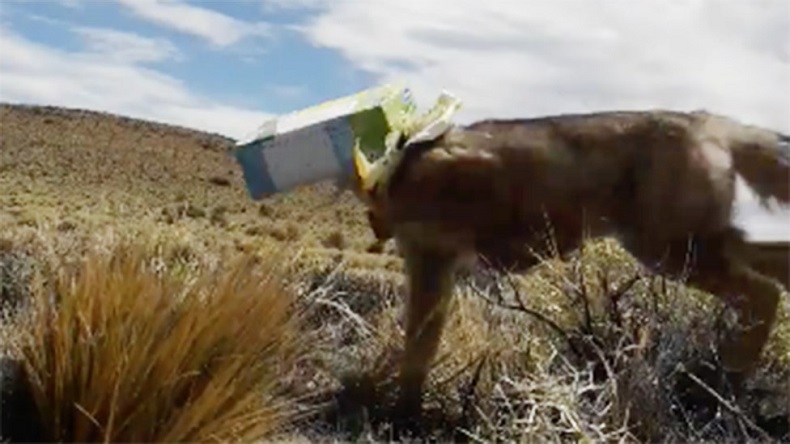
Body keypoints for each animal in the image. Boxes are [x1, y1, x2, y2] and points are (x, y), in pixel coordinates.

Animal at [350, 109, 790, 423]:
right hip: (694, 246)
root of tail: (704, 119)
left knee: (764, 293)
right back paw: (729, 383)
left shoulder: (432, 260)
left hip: (673, 251)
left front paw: (402, 415)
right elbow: (418, 347)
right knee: (774, 274)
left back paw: (726, 386)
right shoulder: (434, 266)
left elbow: (417, 350)